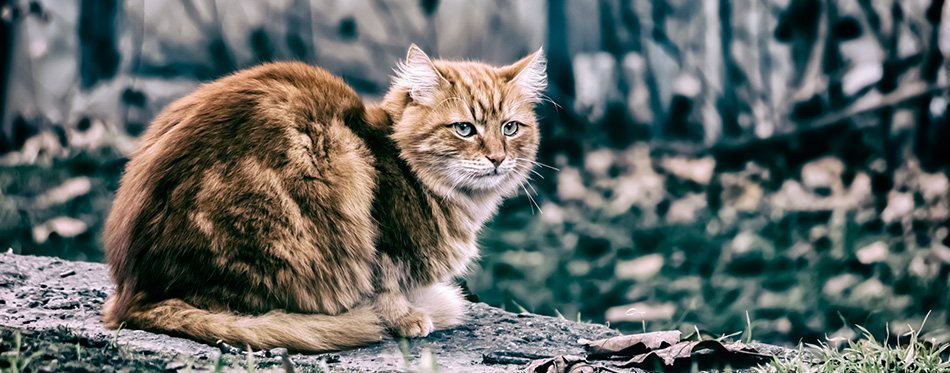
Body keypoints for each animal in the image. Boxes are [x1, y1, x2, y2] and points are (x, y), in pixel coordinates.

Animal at [100, 45, 548, 350]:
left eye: (510, 128)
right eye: (465, 129)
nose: (497, 158)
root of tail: (133, 293)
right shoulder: (379, 237)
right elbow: (382, 286)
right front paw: (405, 318)